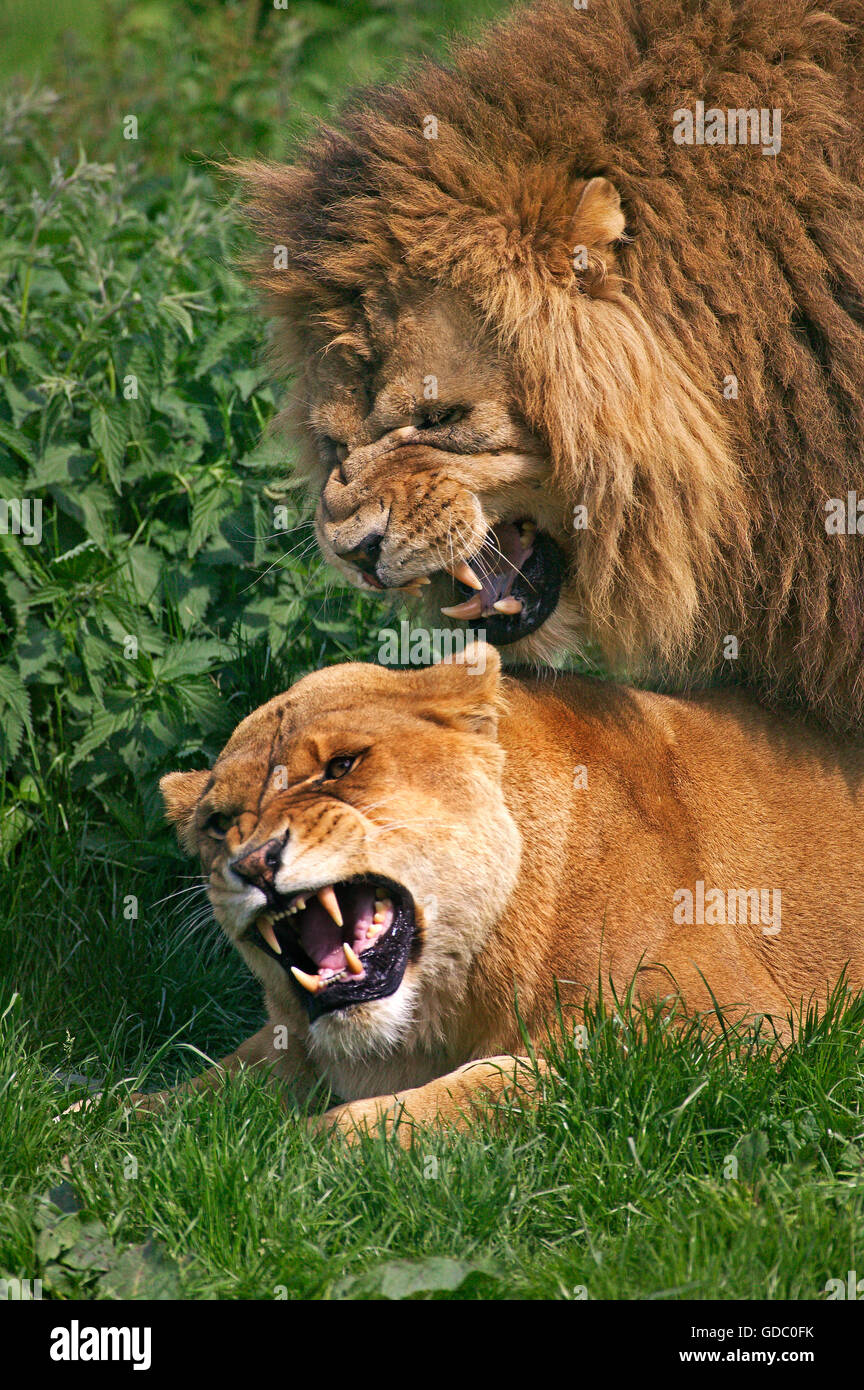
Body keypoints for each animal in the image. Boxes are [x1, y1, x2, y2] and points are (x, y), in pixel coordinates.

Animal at [151, 644, 864, 1141]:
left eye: (341, 766)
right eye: (218, 822)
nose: (254, 863)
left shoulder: (731, 1031)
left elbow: (505, 1085)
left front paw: (306, 1147)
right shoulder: (287, 1042)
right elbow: (183, 1094)